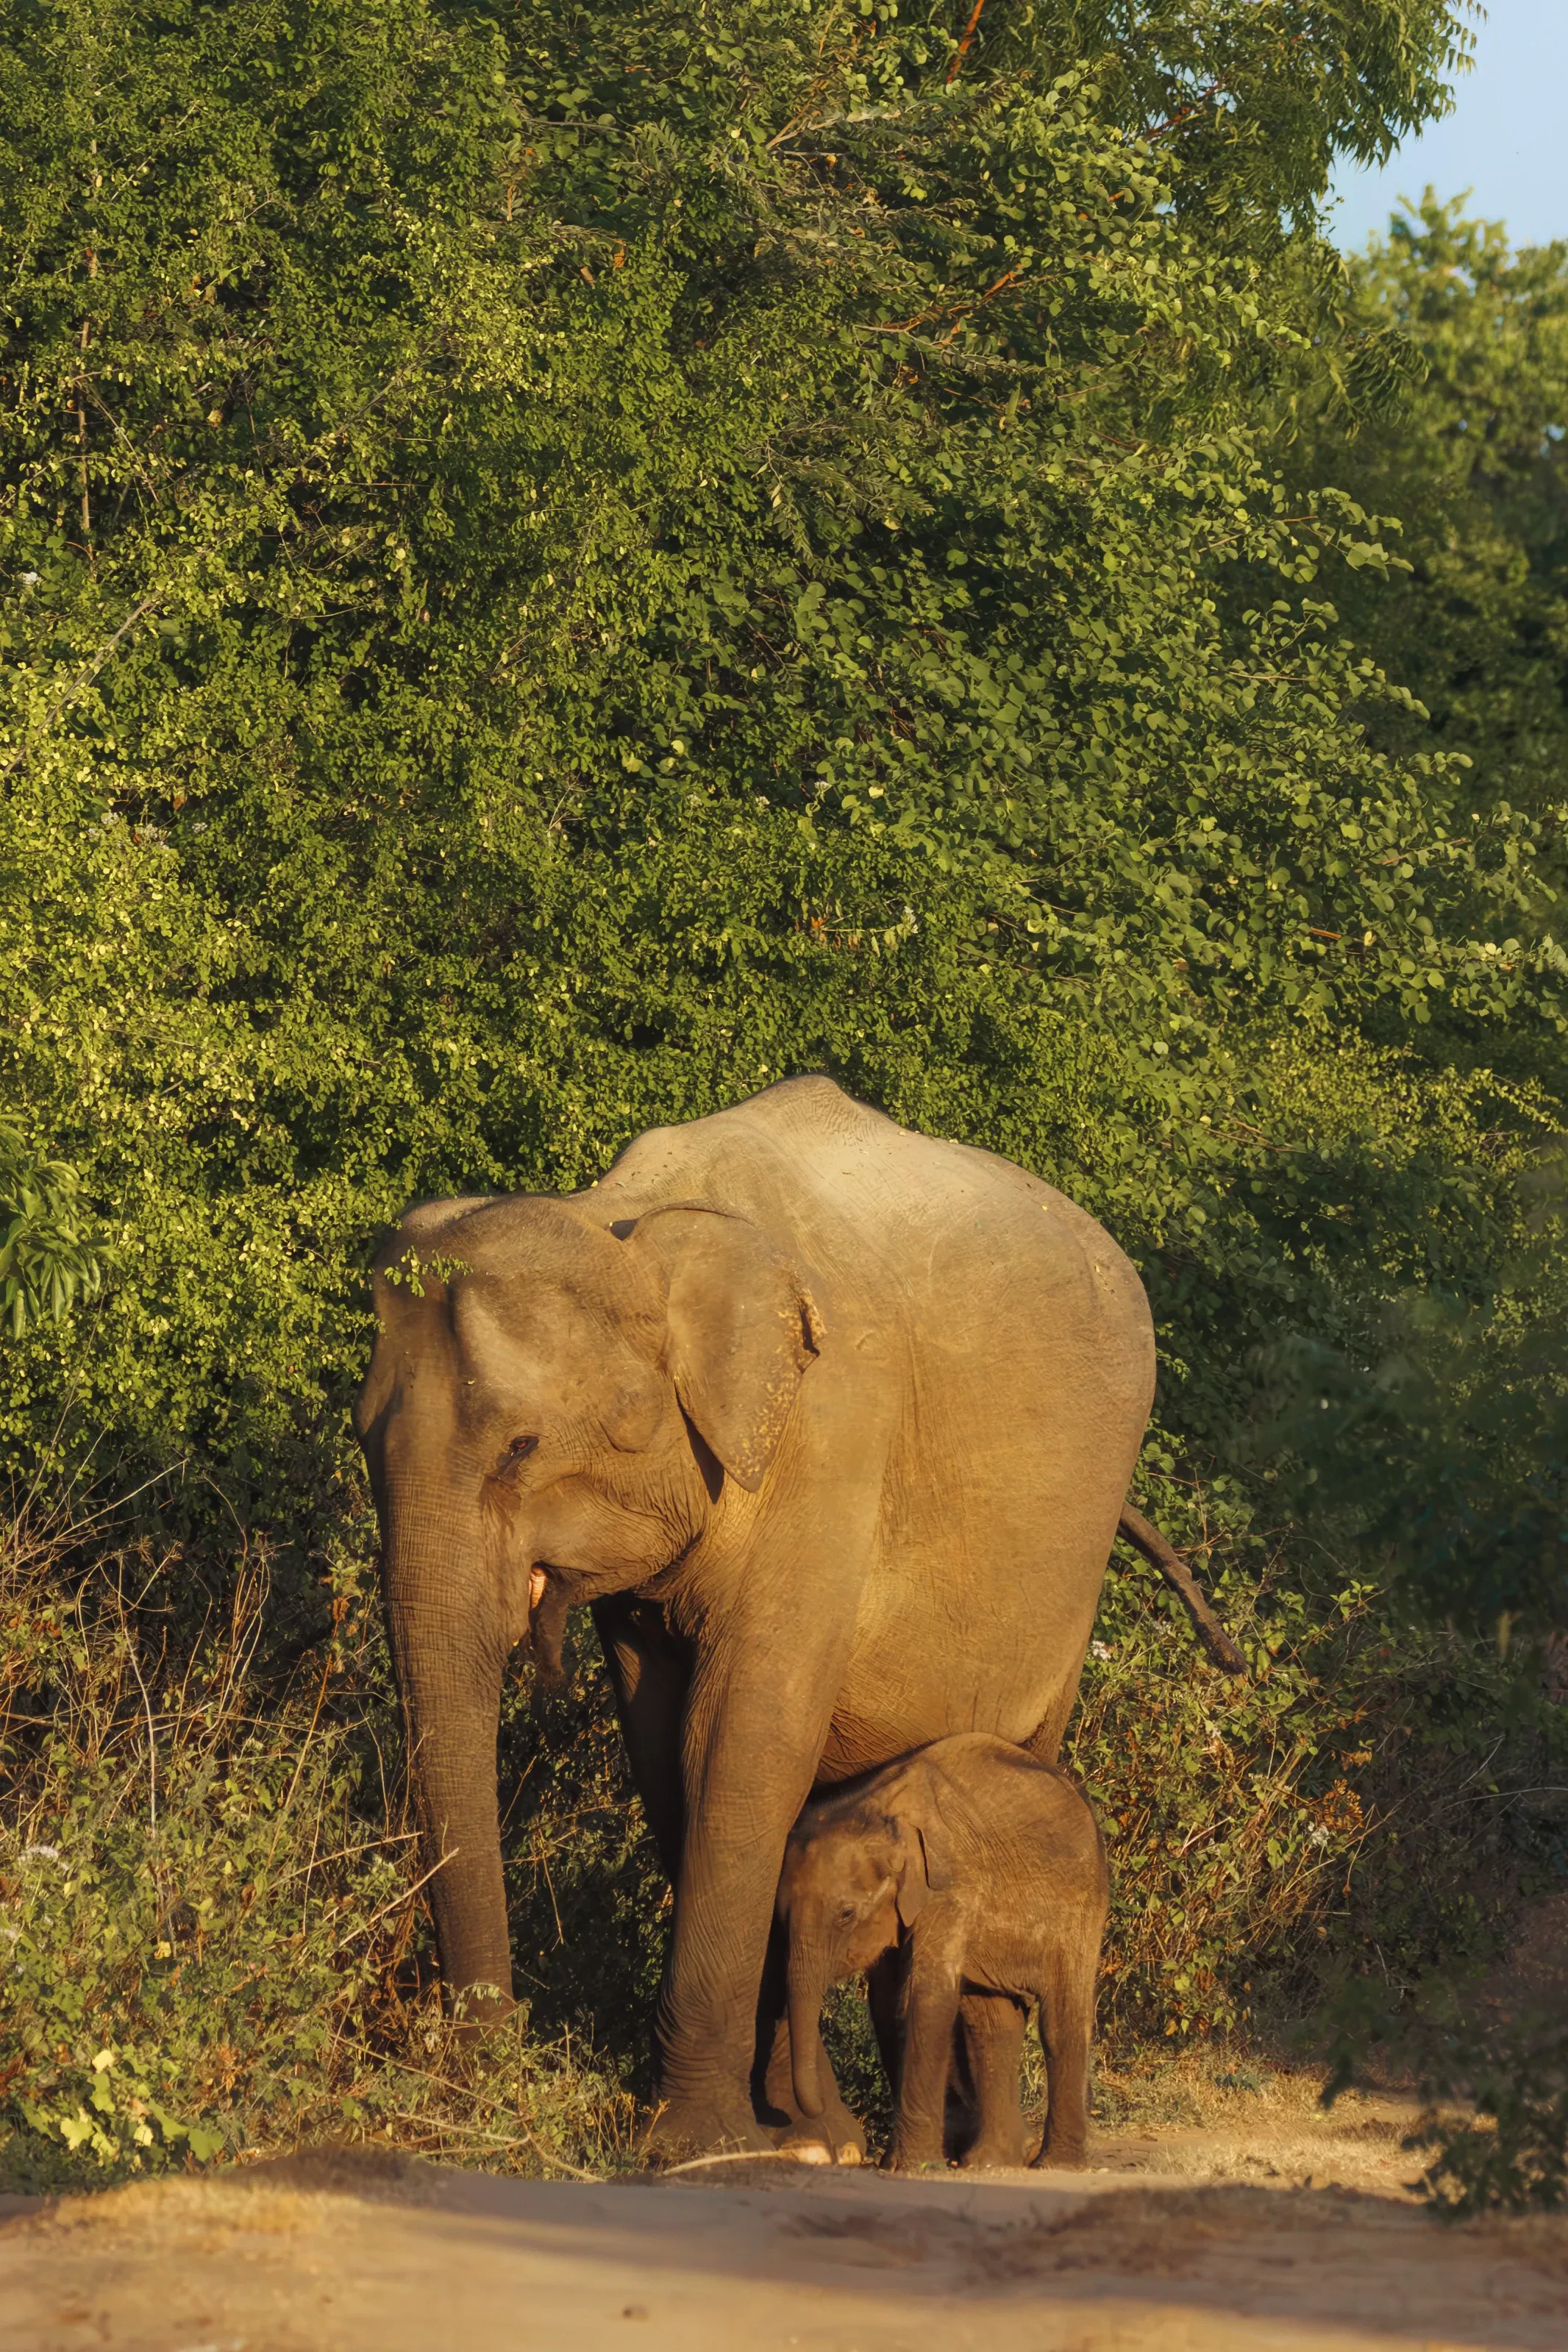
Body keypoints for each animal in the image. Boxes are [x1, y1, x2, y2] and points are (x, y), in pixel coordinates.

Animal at [776, 1732, 1109, 2171]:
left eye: (846, 1914)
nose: (812, 2114)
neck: (880, 1815)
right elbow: (889, 2003)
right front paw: (899, 2162)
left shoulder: (950, 1888)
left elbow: (925, 1998)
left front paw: (912, 2166)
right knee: (991, 2025)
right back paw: (989, 2162)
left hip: (1083, 1905)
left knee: (1060, 2018)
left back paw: (1056, 2165)